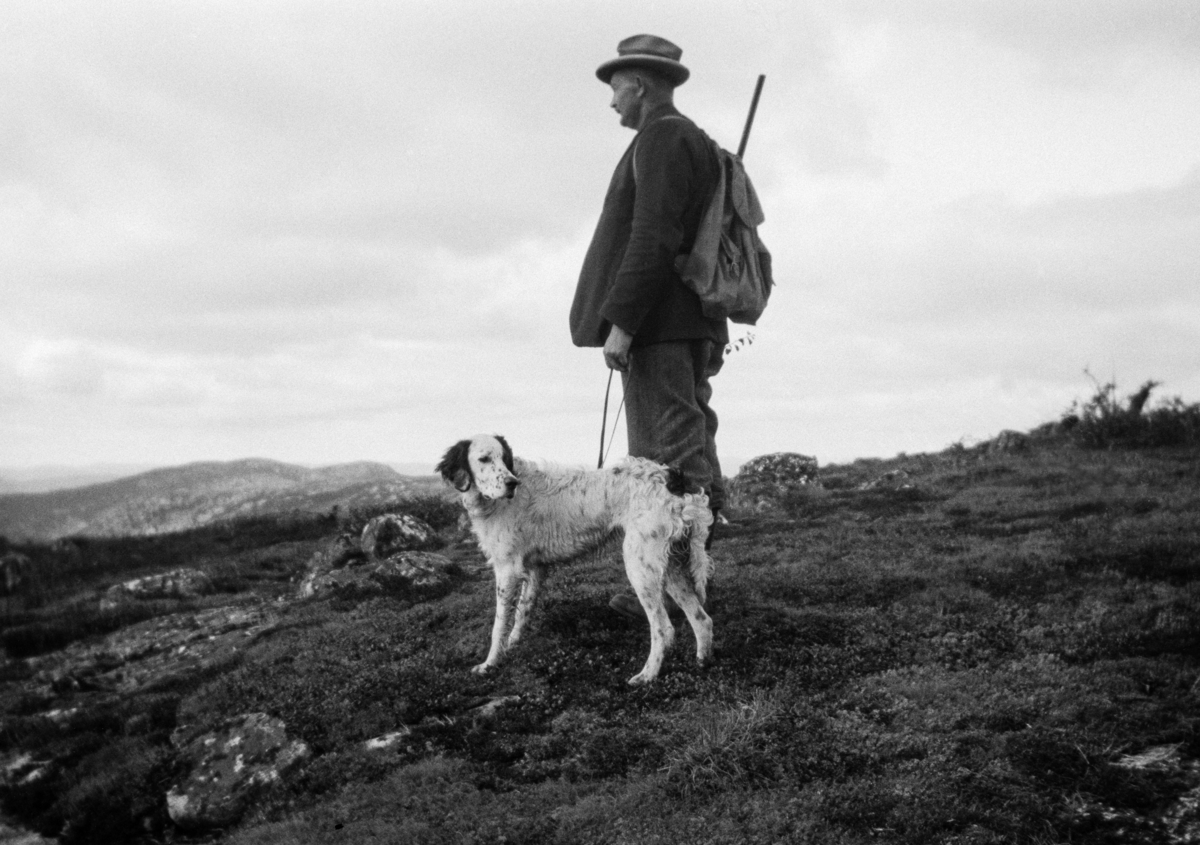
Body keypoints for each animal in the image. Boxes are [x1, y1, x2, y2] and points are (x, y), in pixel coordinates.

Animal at [439, 432, 710, 681]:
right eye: (484, 459)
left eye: (504, 459)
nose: (511, 483)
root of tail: (670, 478)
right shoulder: (534, 569)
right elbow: (522, 611)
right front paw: (513, 643)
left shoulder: (508, 570)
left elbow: (499, 624)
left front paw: (490, 663)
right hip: (670, 568)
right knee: (701, 619)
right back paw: (703, 662)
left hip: (640, 567)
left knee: (663, 628)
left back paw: (647, 676)